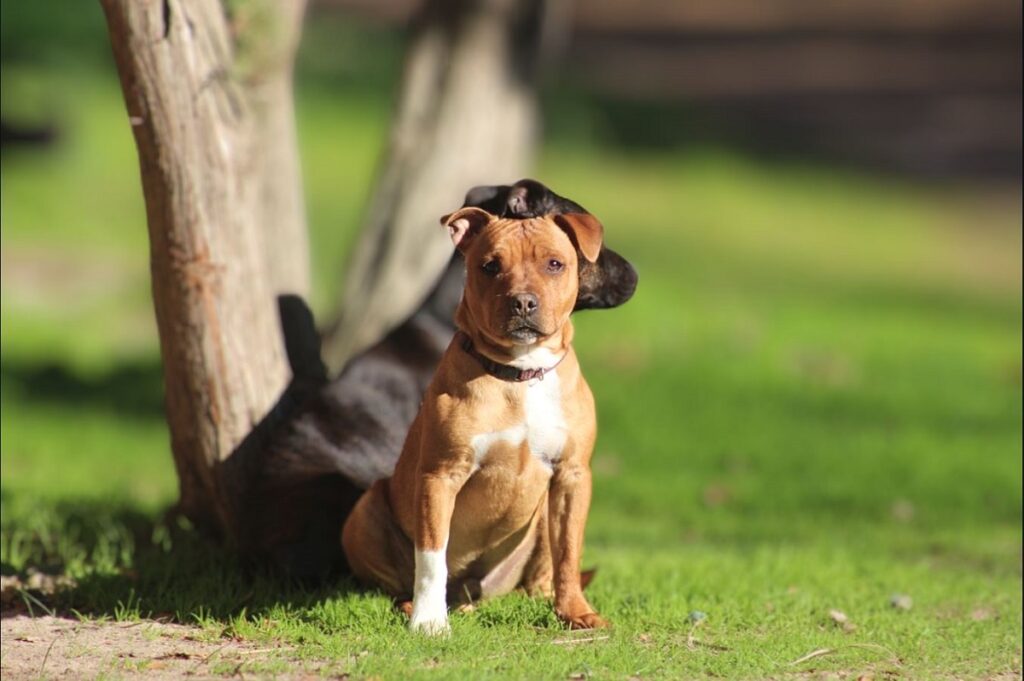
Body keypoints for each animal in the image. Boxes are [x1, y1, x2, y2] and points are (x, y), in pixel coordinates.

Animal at [344, 205, 610, 630]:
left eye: (554, 264)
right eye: (490, 266)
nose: (523, 302)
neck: (520, 373)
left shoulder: (572, 474)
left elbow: (569, 550)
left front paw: (576, 611)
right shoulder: (440, 475)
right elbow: (432, 556)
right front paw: (429, 621)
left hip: (539, 520)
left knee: (540, 573)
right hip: (366, 509)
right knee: (398, 581)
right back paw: (415, 606)